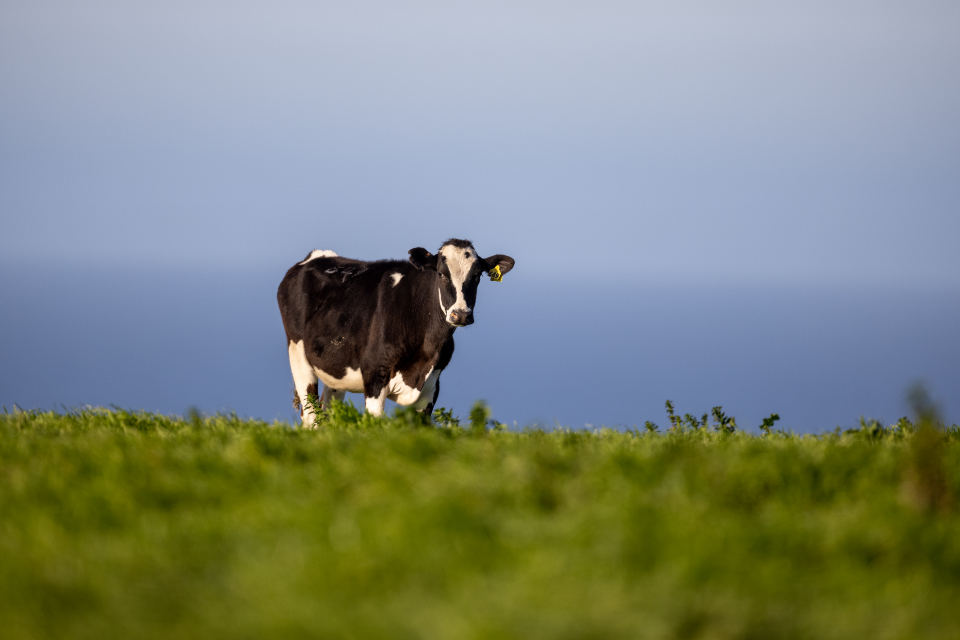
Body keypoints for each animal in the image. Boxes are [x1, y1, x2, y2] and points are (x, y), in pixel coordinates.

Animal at [277, 239, 515, 426]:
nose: (461, 314)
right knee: (311, 417)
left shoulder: (432, 385)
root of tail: (316, 256)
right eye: (440, 273)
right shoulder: (375, 372)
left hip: (335, 372)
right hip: (297, 354)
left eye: (477, 276)